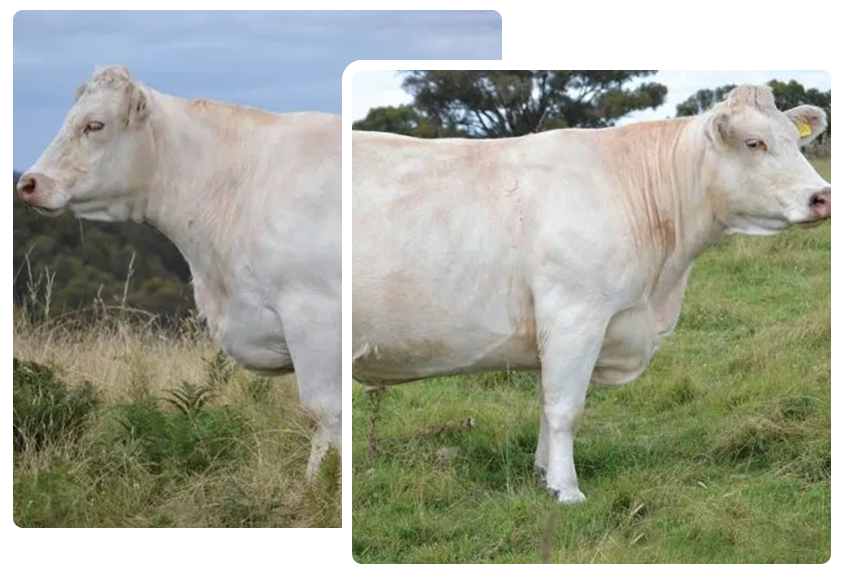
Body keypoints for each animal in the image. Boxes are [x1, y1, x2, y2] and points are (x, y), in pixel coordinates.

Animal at [352, 84, 830, 504]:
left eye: (797, 142)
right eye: (754, 143)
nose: (822, 196)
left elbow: (546, 403)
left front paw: (544, 473)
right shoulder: (575, 315)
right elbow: (566, 408)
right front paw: (567, 489)